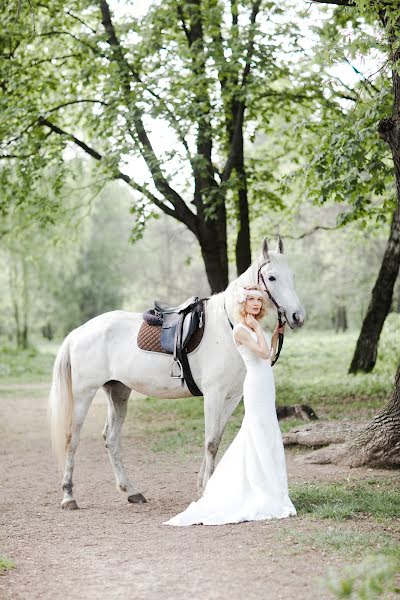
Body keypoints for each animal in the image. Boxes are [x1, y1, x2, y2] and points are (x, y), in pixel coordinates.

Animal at [50, 237, 306, 508]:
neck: (228, 325)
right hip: (84, 394)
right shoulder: (214, 395)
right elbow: (211, 442)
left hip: (118, 391)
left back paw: (131, 491)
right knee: (72, 438)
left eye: (293, 275)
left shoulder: (232, 397)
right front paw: (206, 492)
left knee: (111, 438)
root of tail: (78, 332)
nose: (297, 316)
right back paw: (68, 496)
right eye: (272, 277)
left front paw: (204, 487)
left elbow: (217, 437)